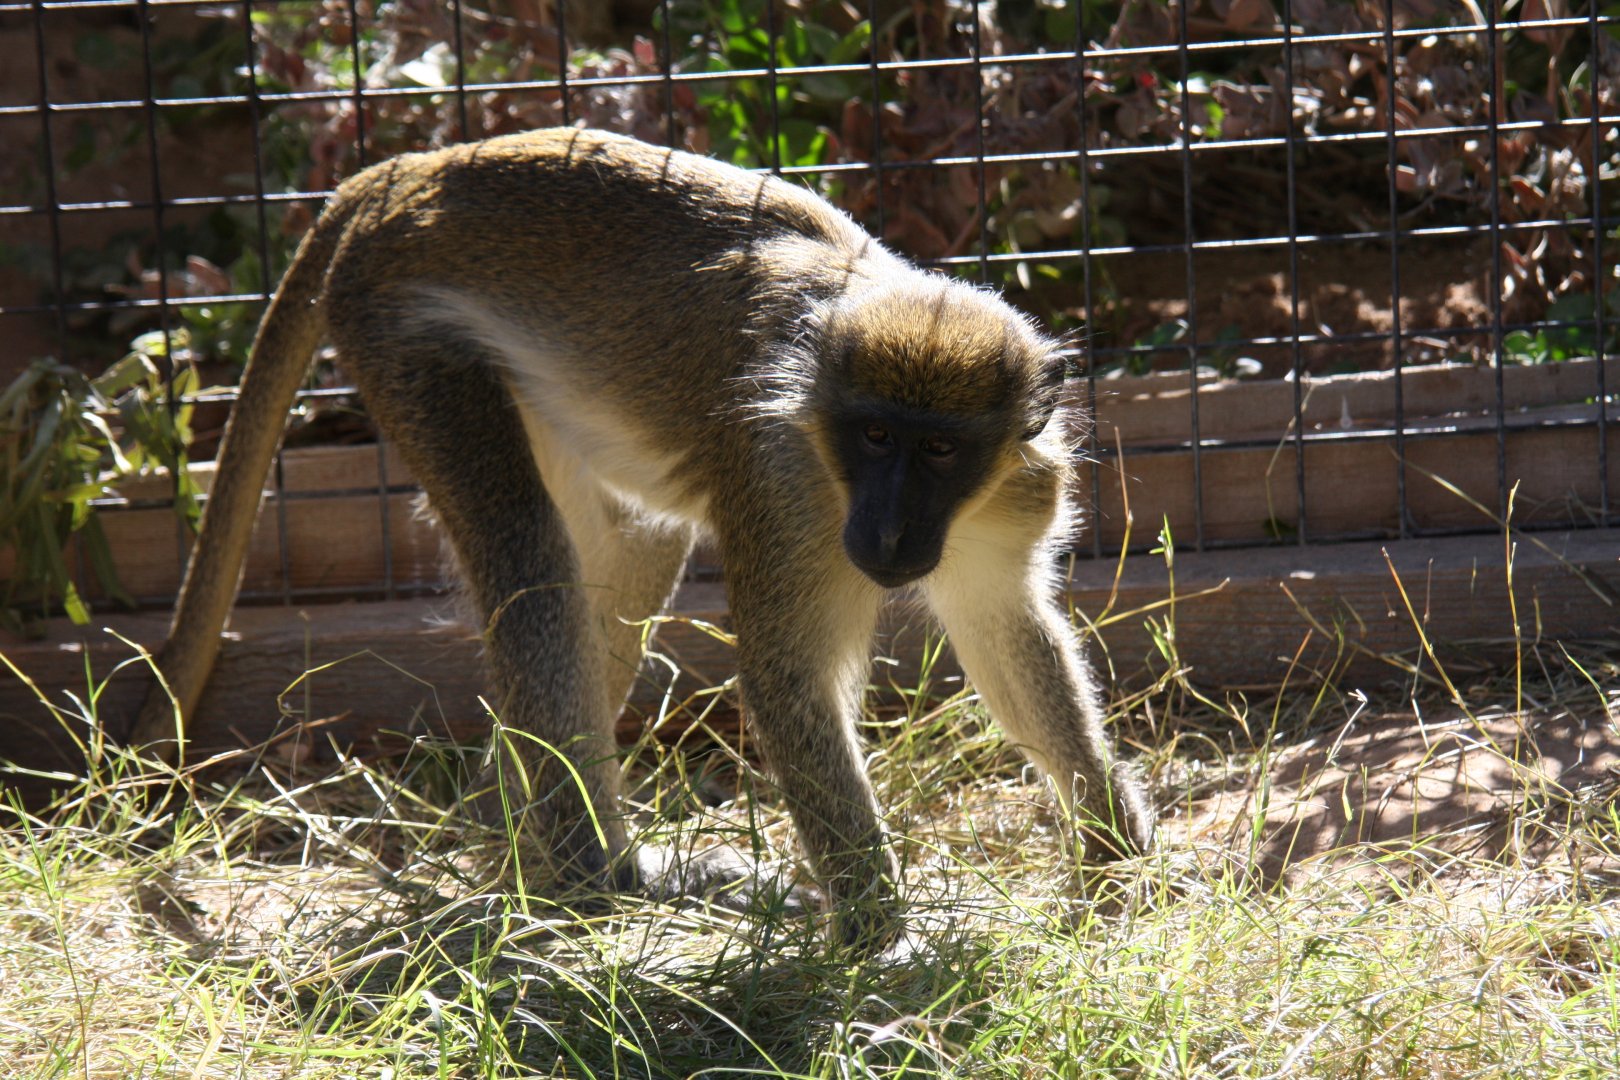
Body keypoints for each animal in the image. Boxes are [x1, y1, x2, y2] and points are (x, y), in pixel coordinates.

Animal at [131, 127, 1153, 951]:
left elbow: (1005, 630)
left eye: (937, 450)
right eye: (872, 437)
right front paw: (883, 940)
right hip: (401, 337)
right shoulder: (780, 480)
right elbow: (786, 680)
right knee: (531, 555)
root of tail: (407, 173)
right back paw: (595, 882)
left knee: (628, 550)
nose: (889, 528)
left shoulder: (1017, 491)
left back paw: (526, 858)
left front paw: (1115, 853)